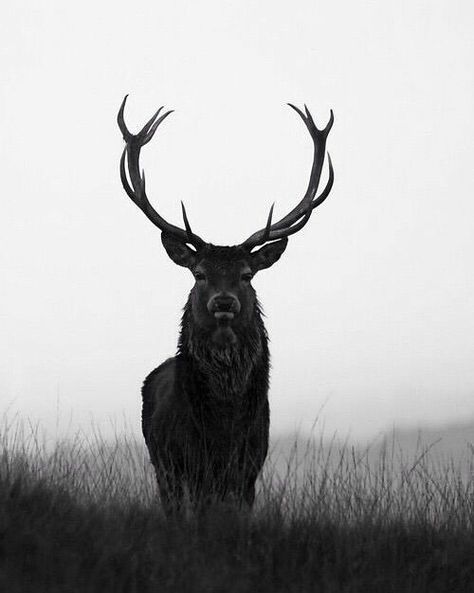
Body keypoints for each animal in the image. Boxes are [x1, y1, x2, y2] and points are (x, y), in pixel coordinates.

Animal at [118, 97, 334, 512]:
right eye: (199, 273)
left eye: (247, 274)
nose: (224, 301)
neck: (224, 428)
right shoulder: (185, 464)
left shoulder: (249, 468)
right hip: (161, 465)